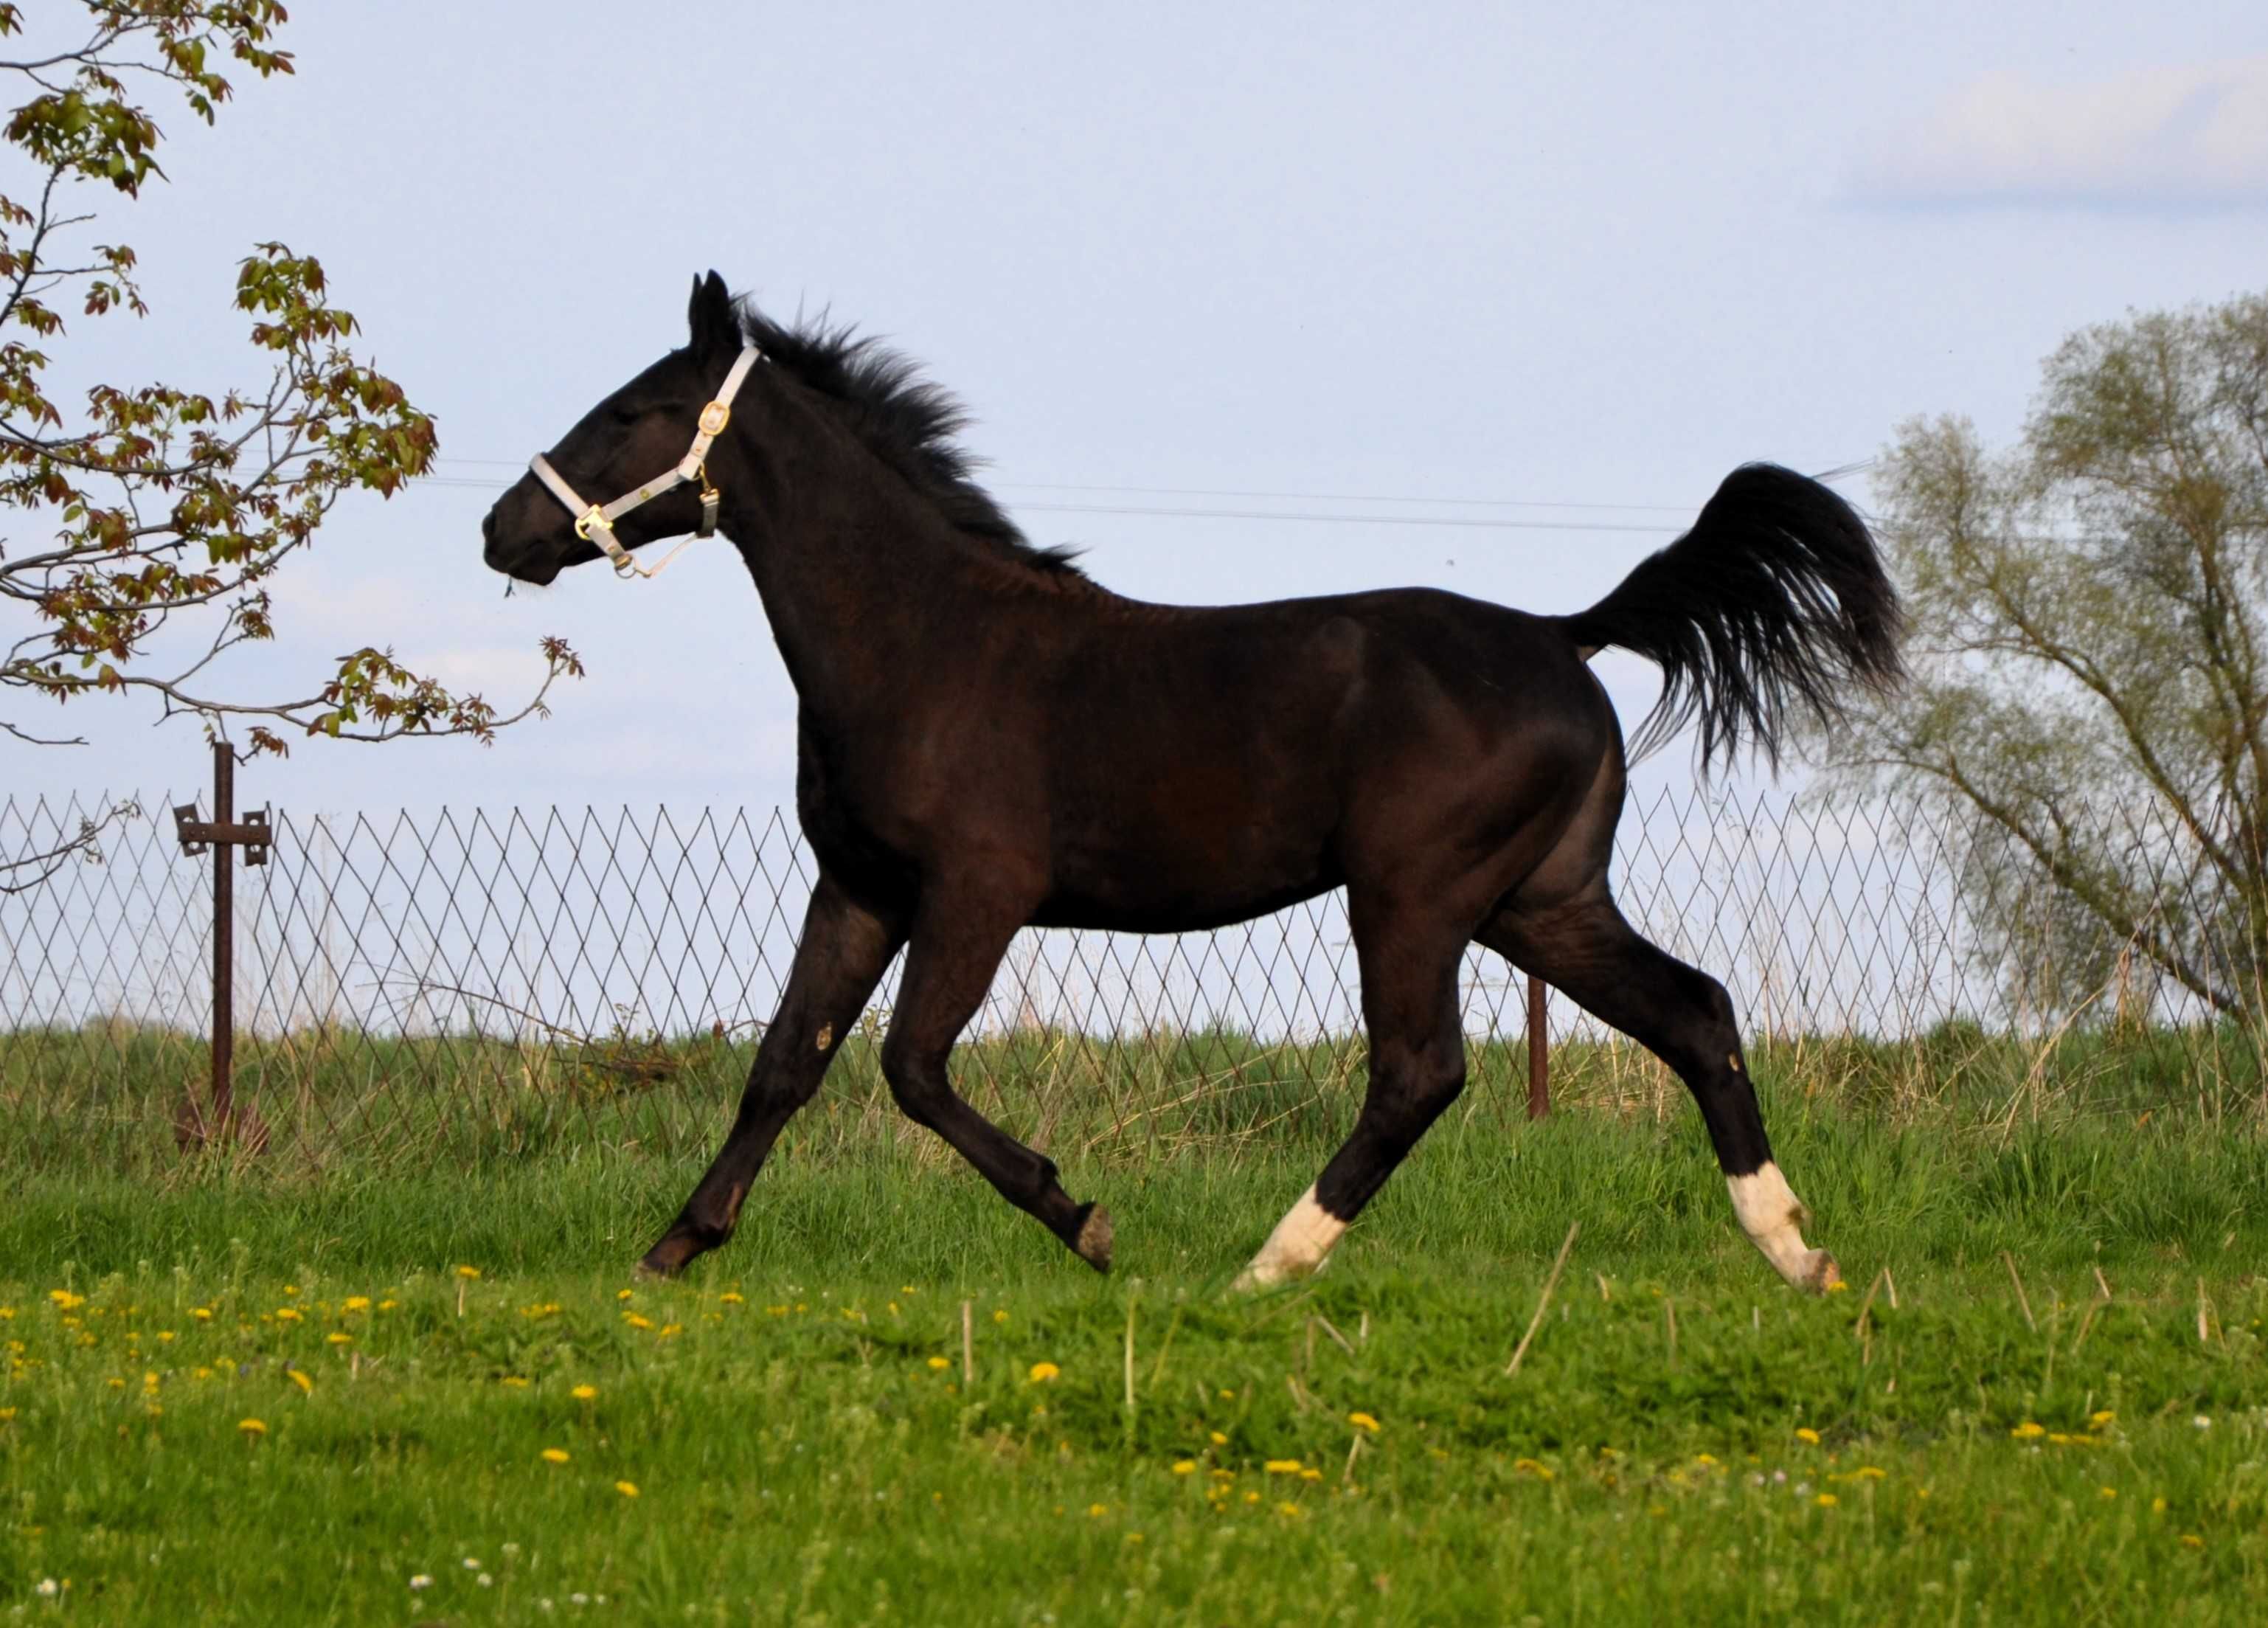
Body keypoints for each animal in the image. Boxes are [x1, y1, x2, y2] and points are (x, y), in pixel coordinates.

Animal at [488, 281, 1905, 1297]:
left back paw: (1267, 1265)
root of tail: (1567, 633)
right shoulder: (860, 888)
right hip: (1540, 903)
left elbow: (910, 1067)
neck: (925, 641)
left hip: (1414, 898)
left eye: (628, 411)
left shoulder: (976, 892)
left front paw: (1085, 1219)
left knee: (1421, 1070)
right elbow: (786, 1063)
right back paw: (1798, 1249)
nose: (504, 530)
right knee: (1695, 1011)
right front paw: (675, 1244)